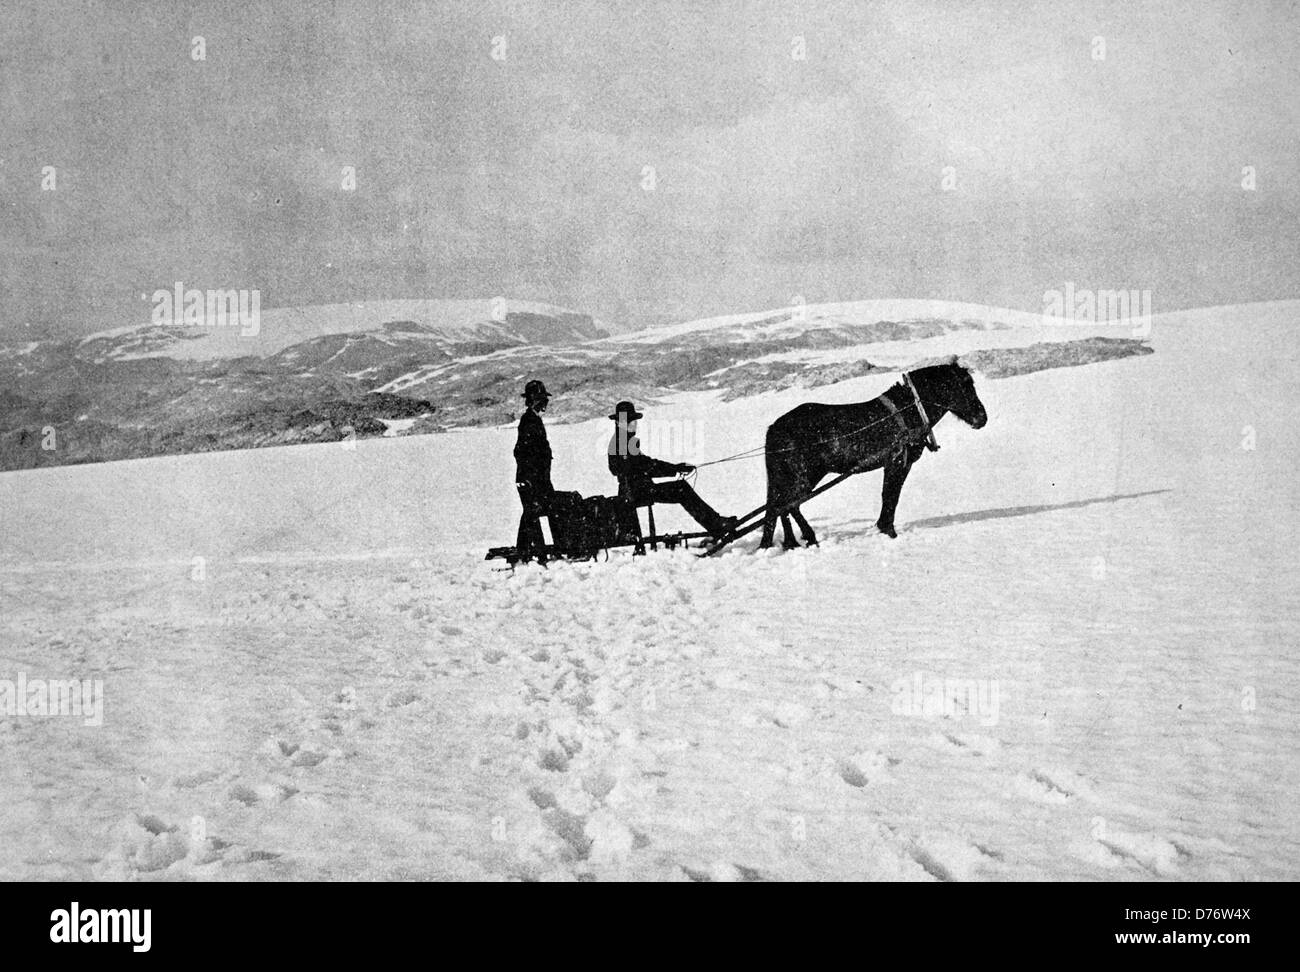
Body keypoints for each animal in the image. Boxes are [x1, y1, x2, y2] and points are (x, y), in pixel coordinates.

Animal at [759, 361, 982, 550]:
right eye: (965, 385)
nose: (983, 417)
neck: (909, 409)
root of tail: (774, 428)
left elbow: (889, 495)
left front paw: (883, 528)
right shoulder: (898, 463)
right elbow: (891, 496)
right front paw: (889, 531)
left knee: (781, 507)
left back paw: (791, 543)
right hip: (805, 475)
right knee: (790, 505)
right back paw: (809, 537)